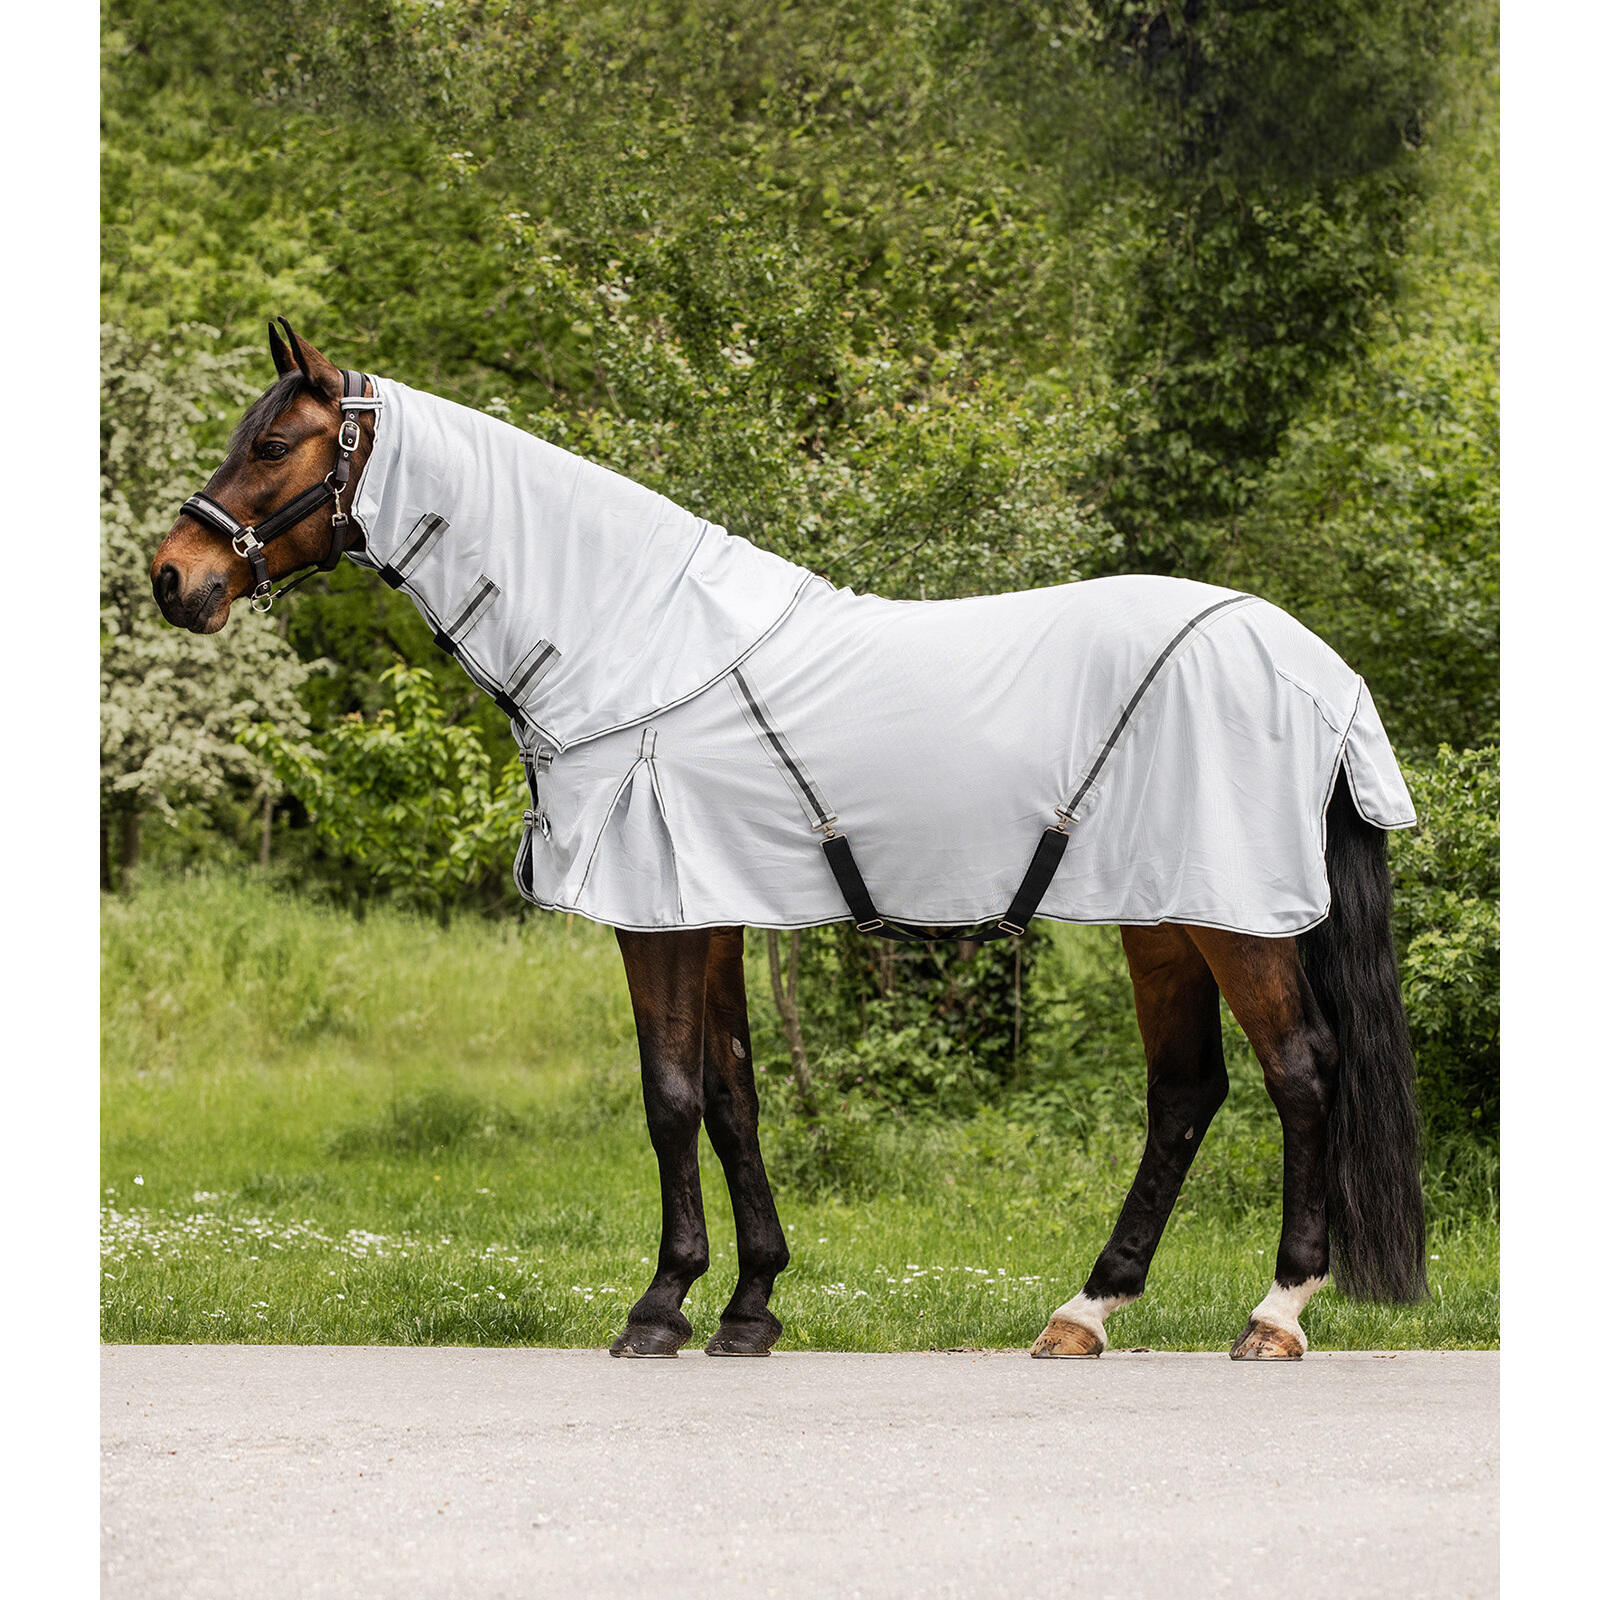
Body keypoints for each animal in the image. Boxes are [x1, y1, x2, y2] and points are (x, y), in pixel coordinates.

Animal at [149, 320, 1428, 1361]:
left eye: (273, 445)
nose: (174, 577)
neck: (639, 642)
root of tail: (1318, 670)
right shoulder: (708, 911)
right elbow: (733, 1096)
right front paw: (750, 1304)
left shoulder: (657, 918)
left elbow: (670, 1094)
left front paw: (660, 1306)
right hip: (1163, 912)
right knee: (1185, 1090)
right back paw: (1085, 1310)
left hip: (1233, 917)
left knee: (1299, 1071)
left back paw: (1275, 1312)